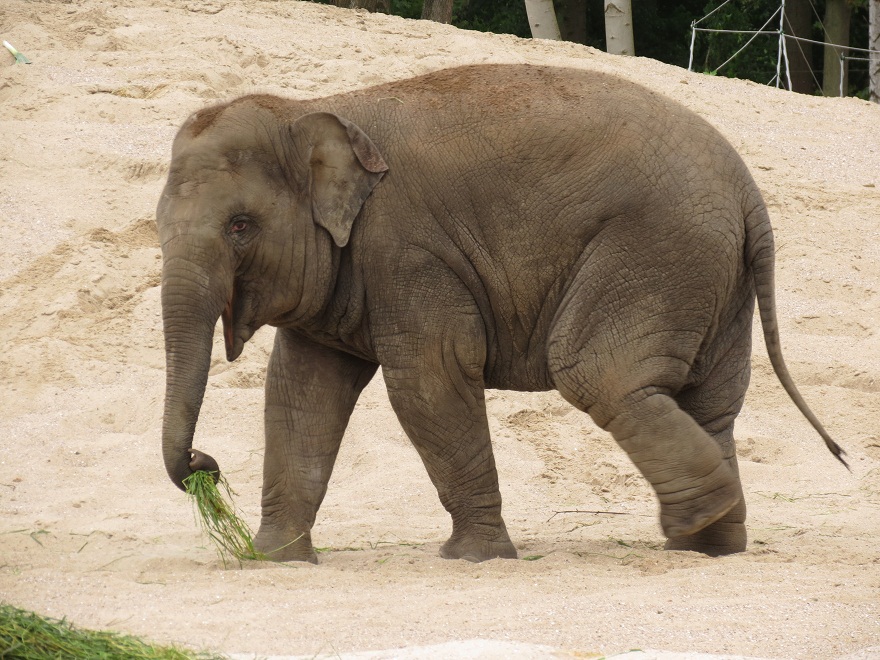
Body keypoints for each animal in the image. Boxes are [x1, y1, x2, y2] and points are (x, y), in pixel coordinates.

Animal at [156, 64, 846, 563]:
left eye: (240, 226)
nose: (204, 466)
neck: (313, 107)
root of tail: (749, 193)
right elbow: (301, 392)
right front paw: (273, 560)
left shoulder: (409, 252)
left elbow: (428, 381)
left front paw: (475, 558)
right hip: (715, 278)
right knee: (710, 401)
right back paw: (709, 544)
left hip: (657, 251)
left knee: (600, 374)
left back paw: (697, 520)